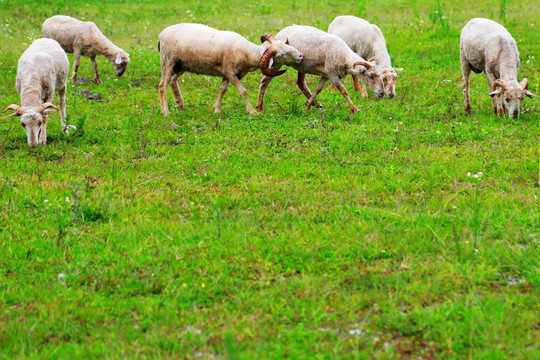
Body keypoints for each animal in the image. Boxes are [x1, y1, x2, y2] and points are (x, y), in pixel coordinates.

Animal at [158, 23, 306, 115]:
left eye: (286, 45)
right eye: (282, 55)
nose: (301, 55)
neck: (248, 53)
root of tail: (161, 35)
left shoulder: (227, 73)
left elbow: (222, 89)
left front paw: (216, 109)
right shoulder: (230, 72)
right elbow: (243, 91)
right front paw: (252, 111)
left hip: (181, 64)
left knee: (172, 80)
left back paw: (180, 105)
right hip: (168, 60)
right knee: (162, 85)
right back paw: (165, 112)